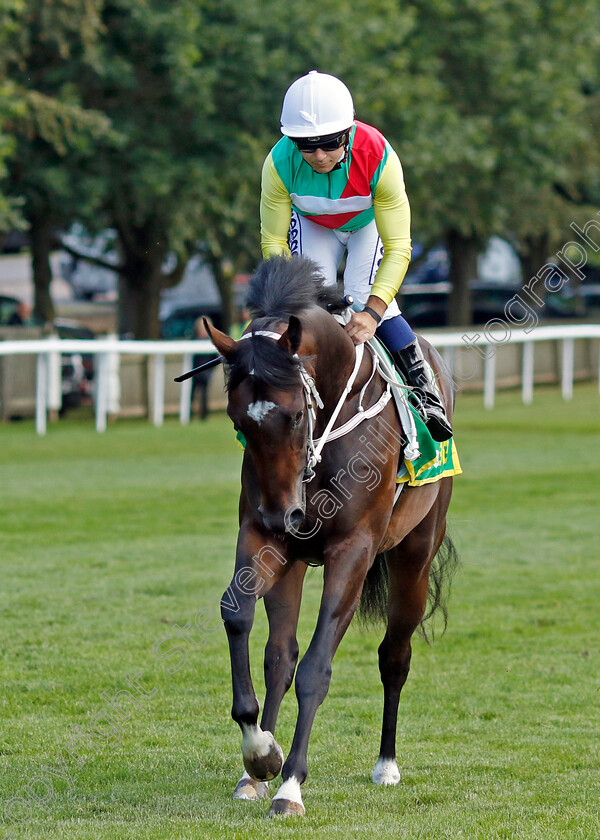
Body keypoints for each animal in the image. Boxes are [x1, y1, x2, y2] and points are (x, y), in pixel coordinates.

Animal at [207, 254, 460, 812]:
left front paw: (291, 785)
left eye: (294, 414)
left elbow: (317, 668)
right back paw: (257, 770)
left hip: (414, 556)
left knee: (394, 655)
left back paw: (386, 764)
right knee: (279, 655)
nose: (284, 516)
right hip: (296, 558)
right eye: (238, 421)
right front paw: (260, 754)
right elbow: (238, 615)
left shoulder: (353, 550)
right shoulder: (262, 534)